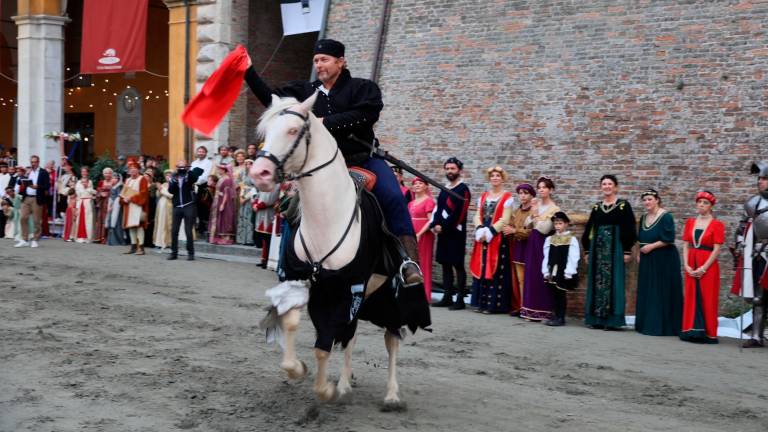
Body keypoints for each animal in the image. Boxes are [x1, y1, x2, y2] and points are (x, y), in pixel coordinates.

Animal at [254, 92, 428, 408]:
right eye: (266, 131)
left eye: (293, 130)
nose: (259, 173)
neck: (328, 216)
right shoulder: (302, 281)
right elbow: (293, 324)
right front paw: (298, 369)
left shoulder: (347, 290)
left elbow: (324, 344)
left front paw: (326, 390)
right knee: (351, 337)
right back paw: (346, 383)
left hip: (389, 298)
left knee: (391, 339)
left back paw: (392, 395)